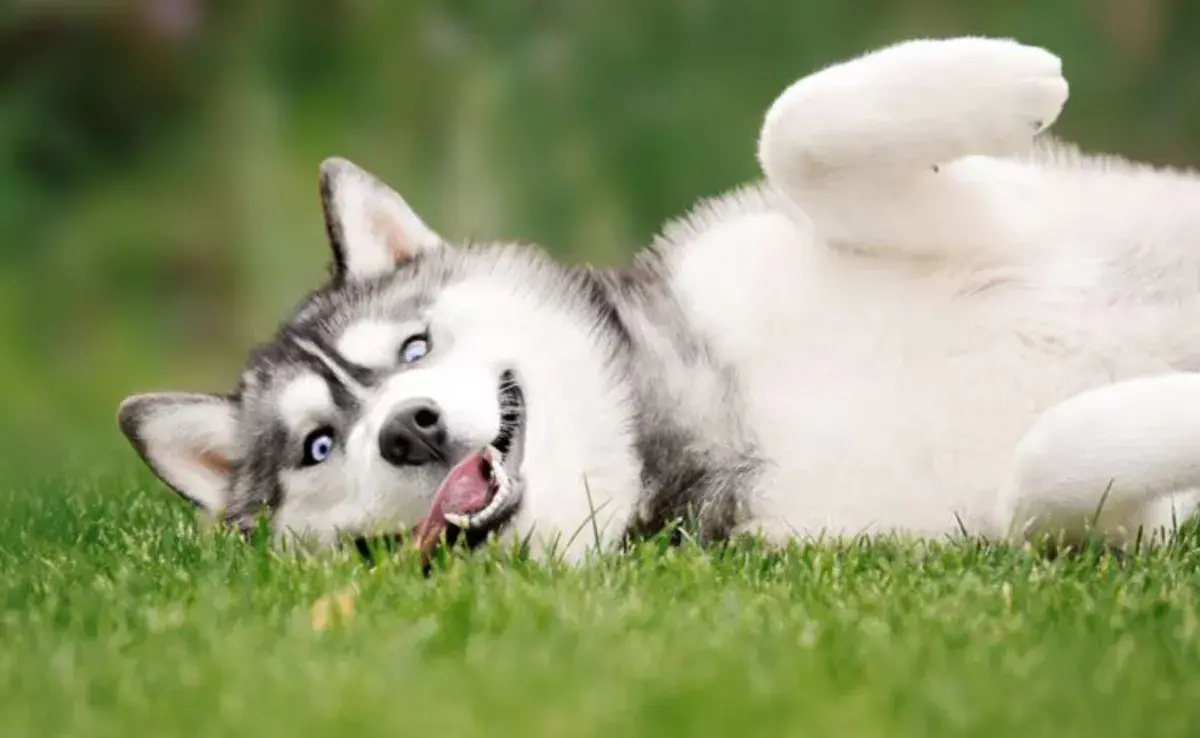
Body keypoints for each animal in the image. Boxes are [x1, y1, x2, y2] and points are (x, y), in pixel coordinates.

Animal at [119, 37, 1200, 564]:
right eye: (317, 448)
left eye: (413, 351)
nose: (409, 427)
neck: (702, 418)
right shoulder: (1005, 526)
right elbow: (1047, 459)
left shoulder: (997, 206)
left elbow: (793, 127)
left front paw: (1005, 77)